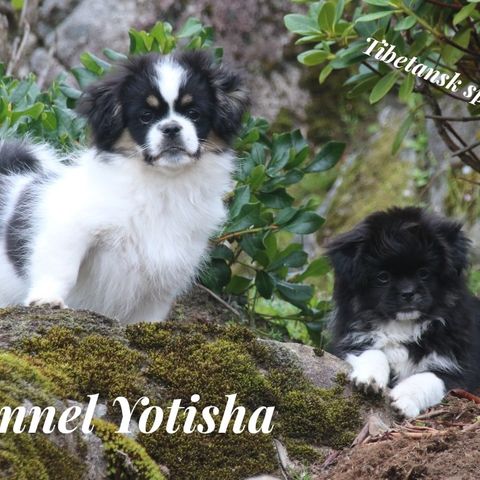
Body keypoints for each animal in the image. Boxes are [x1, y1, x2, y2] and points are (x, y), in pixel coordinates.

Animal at [0, 50, 248, 324]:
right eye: (145, 116)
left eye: (194, 113)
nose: (172, 127)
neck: (162, 184)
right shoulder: (70, 228)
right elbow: (61, 268)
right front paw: (47, 300)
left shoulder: (167, 270)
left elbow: (150, 312)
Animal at [326, 208, 480, 418]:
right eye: (383, 277)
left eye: (424, 273)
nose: (408, 293)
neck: (403, 327)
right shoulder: (351, 343)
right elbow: (373, 351)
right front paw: (369, 378)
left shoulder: (460, 370)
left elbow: (429, 377)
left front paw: (404, 399)